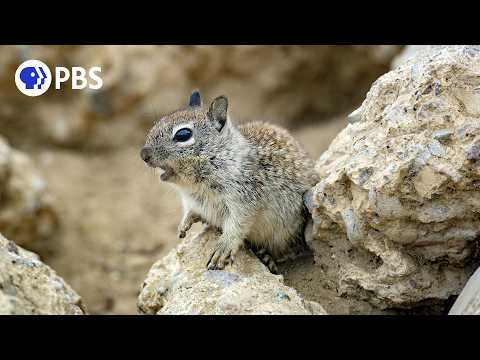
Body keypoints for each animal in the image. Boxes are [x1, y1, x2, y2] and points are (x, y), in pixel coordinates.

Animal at [140, 90, 318, 272]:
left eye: (183, 135)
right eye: (156, 124)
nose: (143, 154)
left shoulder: (244, 201)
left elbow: (236, 227)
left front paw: (222, 249)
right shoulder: (195, 202)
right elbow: (192, 211)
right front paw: (185, 223)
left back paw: (268, 258)